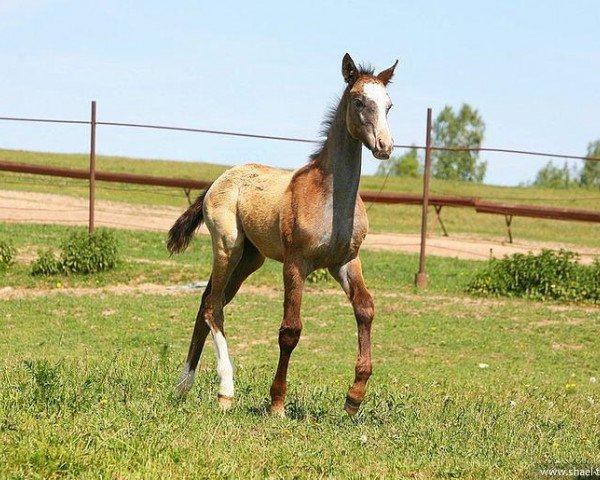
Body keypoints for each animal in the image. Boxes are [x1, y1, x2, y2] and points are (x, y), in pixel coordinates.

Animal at [168, 53, 398, 416]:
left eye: (388, 105)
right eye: (359, 101)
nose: (384, 146)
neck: (330, 199)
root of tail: (219, 180)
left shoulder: (346, 261)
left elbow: (365, 309)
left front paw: (354, 397)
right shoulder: (295, 263)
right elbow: (290, 330)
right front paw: (277, 400)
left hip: (250, 259)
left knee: (206, 302)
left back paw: (183, 385)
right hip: (228, 248)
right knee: (213, 307)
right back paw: (225, 391)